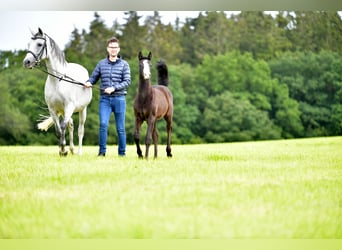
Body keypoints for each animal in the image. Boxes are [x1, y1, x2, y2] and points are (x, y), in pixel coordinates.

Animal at [22, 27, 93, 156]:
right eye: (29, 44)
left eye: (39, 44)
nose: (26, 62)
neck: (58, 81)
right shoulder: (53, 109)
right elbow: (59, 130)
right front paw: (62, 150)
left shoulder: (69, 107)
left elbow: (63, 127)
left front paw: (63, 150)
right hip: (65, 111)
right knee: (71, 125)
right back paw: (72, 149)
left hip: (82, 110)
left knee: (80, 129)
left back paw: (79, 152)